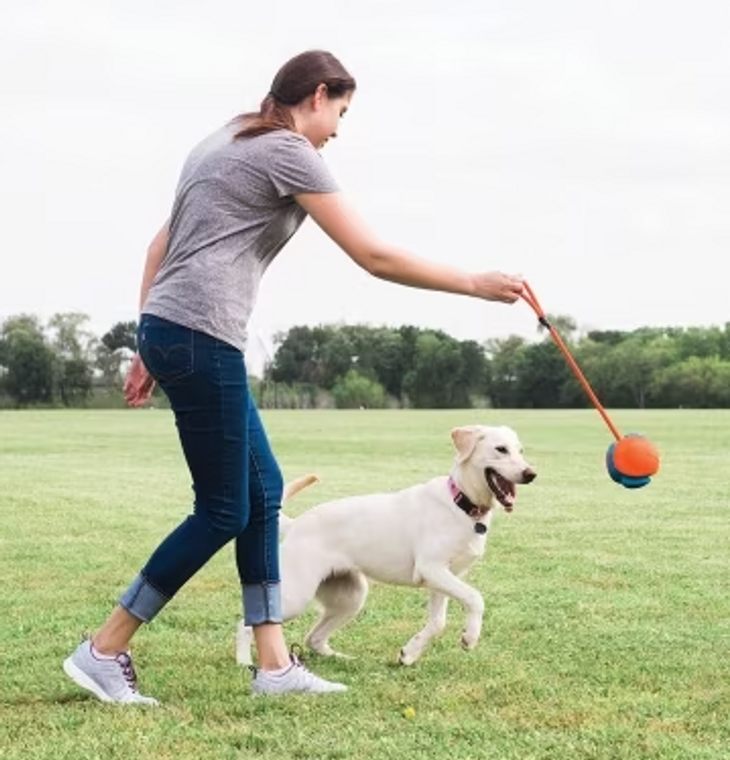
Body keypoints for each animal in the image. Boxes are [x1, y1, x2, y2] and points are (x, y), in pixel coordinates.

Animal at [239, 424, 536, 668]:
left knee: (313, 638)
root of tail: (296, 524)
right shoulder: (431, 569)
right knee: (246, 624)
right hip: (296, 596)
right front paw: (470, 637)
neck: (461, 504)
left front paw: (409, 653)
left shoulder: (443, 577)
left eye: (521, 451)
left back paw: (341, 659)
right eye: (501, 449)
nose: (531, 474)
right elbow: (475, 598)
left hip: (350, 598)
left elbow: (438, 622)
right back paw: (244, 663)